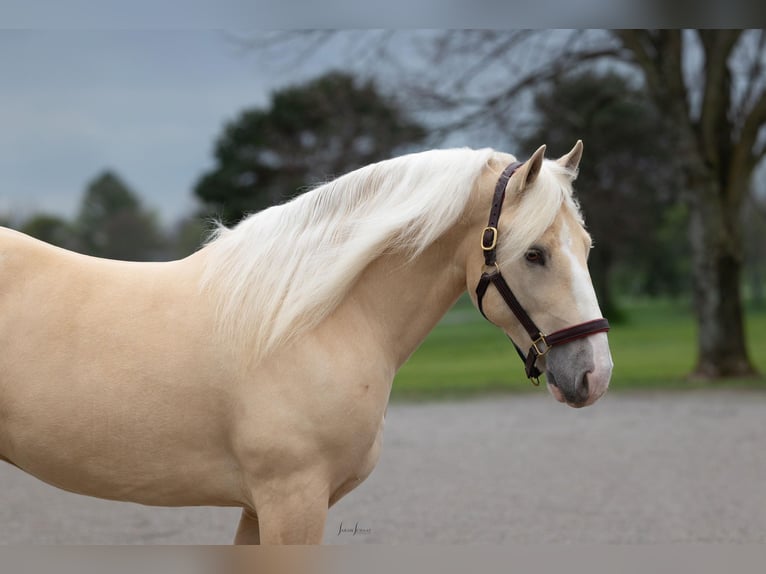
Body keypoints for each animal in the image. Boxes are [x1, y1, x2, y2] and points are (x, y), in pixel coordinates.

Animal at [0, 141, 612, 544]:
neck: (308, 324)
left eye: (585, 246)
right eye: (534, 253)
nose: (595, 374)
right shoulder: (290, 501)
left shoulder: (262, 509)